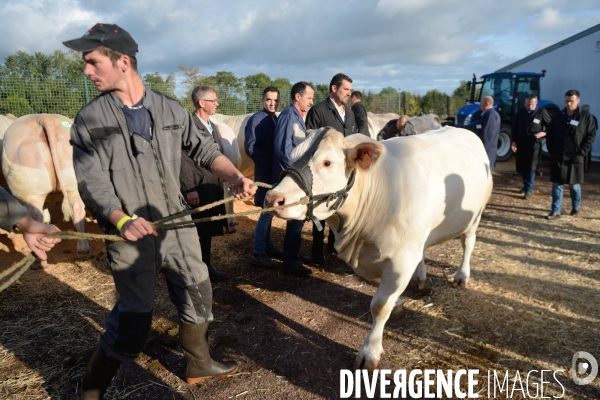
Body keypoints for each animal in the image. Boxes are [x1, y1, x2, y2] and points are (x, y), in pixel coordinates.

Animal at [2, 114, 90, 260]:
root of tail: (44, 117)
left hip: (31, 191)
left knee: (36, 216)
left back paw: (39, 258)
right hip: (73, 186)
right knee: (78, 211)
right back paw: (83, 249)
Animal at [264, 126, 490, 370]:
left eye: (327, 162)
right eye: (291, 156)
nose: (272, 198)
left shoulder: (401, 260)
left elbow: (380, 306)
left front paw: (369, 352)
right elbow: (382, 291)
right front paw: (398, 303)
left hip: (475, 215)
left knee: (468, 242)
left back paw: (461, 276)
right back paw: (420, 277)